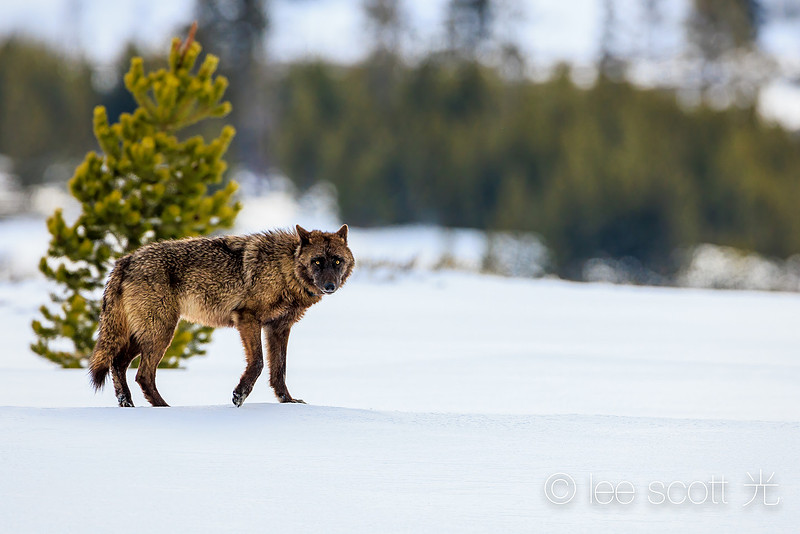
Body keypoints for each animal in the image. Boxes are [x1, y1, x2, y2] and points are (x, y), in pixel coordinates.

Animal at [88, 224, 354, 407]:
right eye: (317, 261)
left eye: (336, 261)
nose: (330, 286)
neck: (283, 269)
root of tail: (126, 259)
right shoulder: (247, 318)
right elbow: (258, 363)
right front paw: (239, 395)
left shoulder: (278, 328)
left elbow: (279, 370)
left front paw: (288, 402)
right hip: (160, 333)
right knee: (142, 374)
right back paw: (163, 407)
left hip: (142, 335)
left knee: (118, 364)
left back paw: (128, 404)